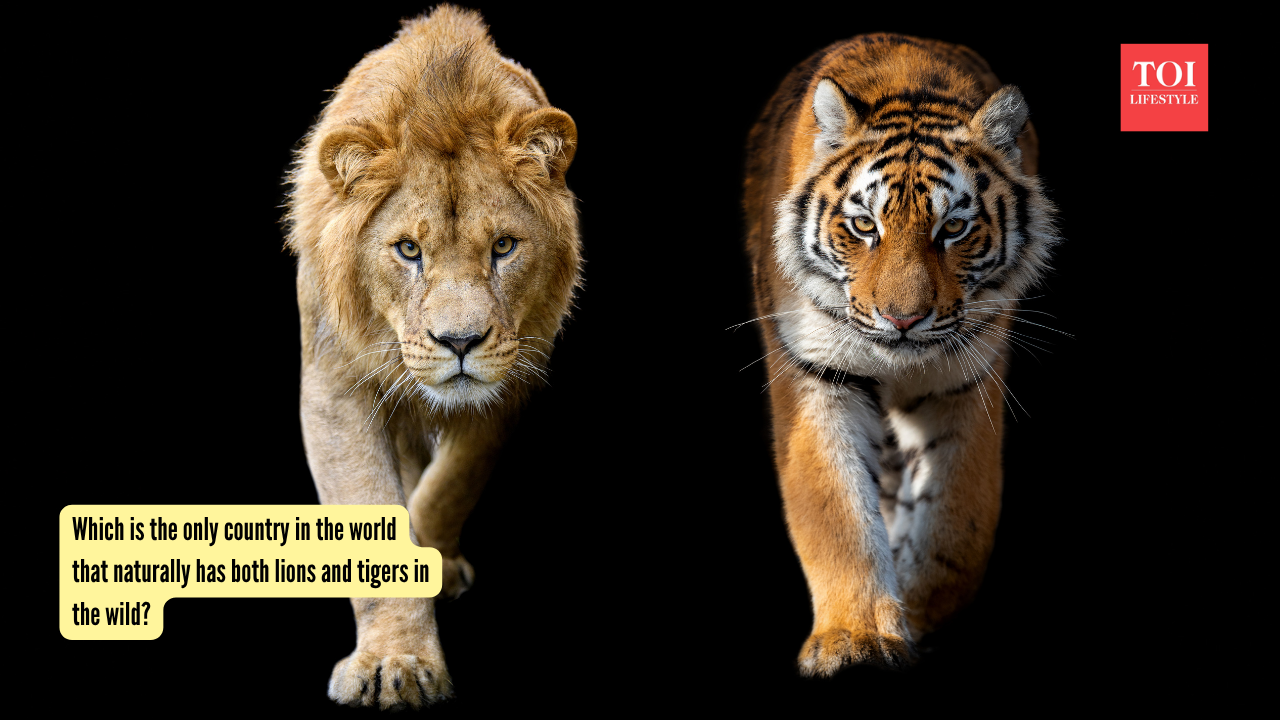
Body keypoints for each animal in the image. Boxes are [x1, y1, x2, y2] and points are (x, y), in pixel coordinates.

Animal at [283, 6, 580, 708]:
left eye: (504, 246)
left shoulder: (511, 375)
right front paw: (397, 662)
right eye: (408, 250)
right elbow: (369, 508)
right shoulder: (334, 386)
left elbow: (452, 484)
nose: (460, 343)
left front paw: (431, 562)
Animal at [742, 33, 1058, 674]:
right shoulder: (818, 375)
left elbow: (959, 520)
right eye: (865, 226)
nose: (903, 319)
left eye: (954, 228)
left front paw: (919, 614)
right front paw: (856, 638)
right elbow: (835, 513)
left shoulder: (968, 377)